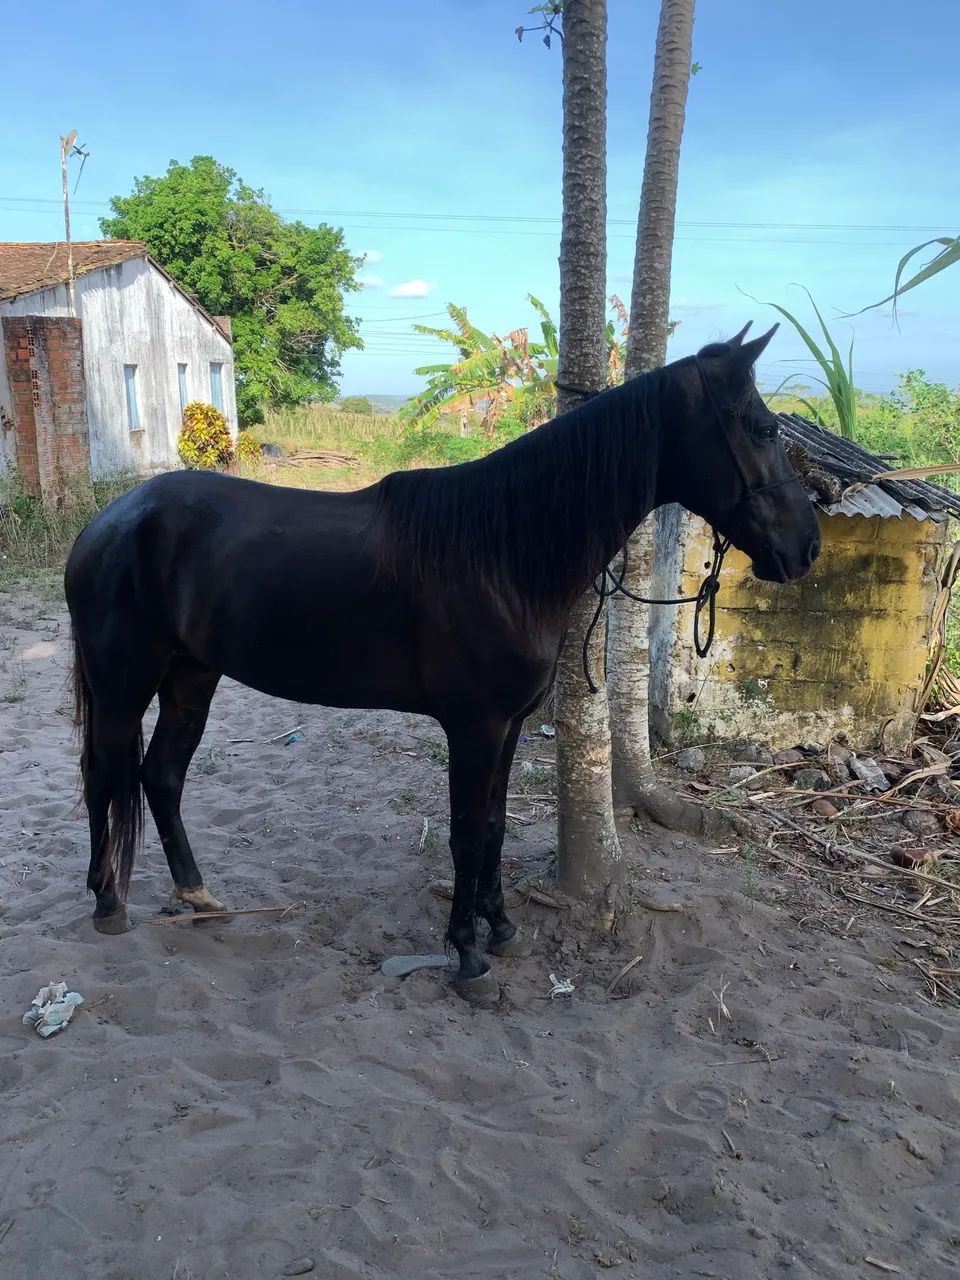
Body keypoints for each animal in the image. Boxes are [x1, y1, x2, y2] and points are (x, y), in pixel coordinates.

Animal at [65, 324, 820, 1005]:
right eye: (761, 428)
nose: (807, 547)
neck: (503, 553)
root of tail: (108, 521)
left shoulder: (509, 726)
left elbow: (494, 824)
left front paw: (500, 926)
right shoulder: (474, 727)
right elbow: (465, 833)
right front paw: (467, 957)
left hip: (191, 677)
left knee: (161, 777)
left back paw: (196, 895)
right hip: (123, 684)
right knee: (106, 776)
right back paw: (107, 904)